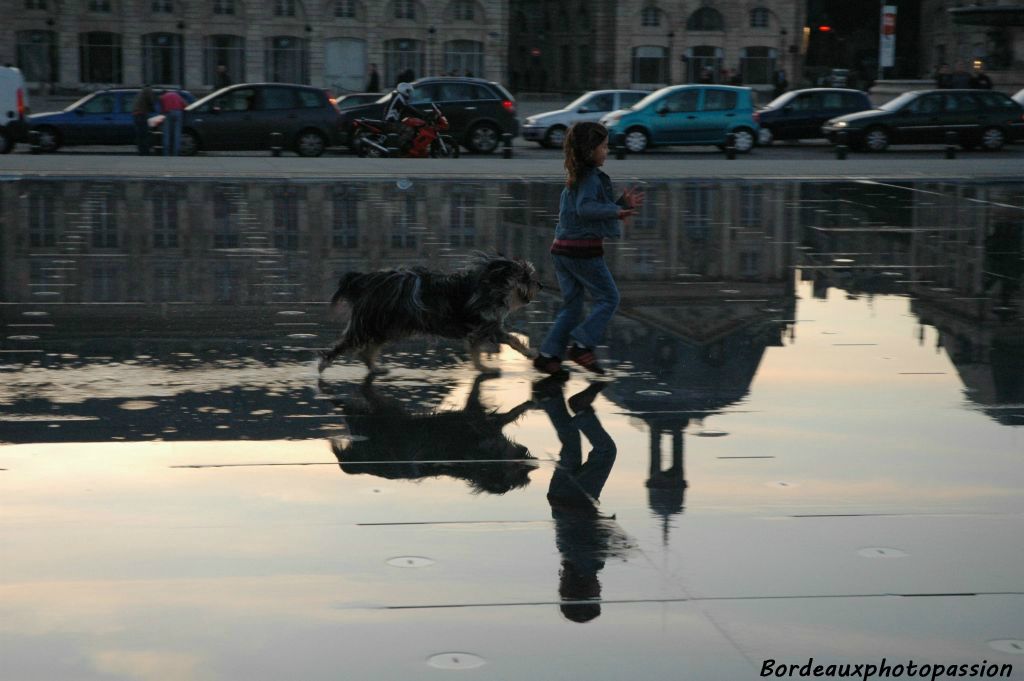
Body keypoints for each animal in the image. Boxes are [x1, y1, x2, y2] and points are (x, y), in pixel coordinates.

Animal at [317, 253, 544, 374]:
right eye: (525, 276)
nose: (540, 285)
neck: (492, 286)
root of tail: (366, 281)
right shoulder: (485, 327)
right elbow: (501, 343)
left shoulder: (484, 328)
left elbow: (491, 347)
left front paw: (486, 367)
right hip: (371, 324)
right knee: (346, 343)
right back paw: (324, 363)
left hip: (388, 326)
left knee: (366, 351)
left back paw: (375, 368)